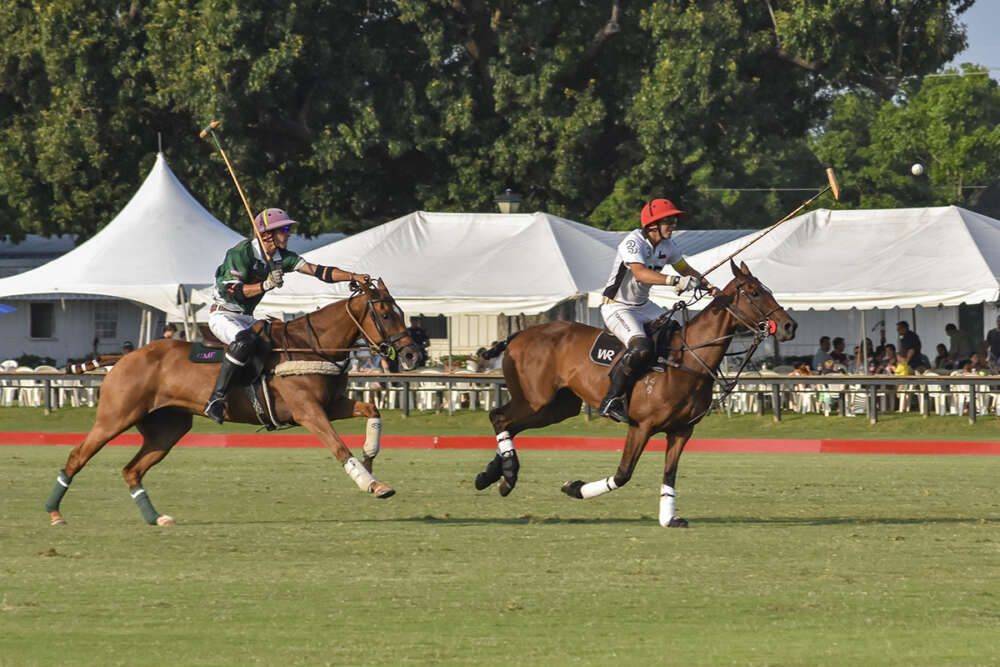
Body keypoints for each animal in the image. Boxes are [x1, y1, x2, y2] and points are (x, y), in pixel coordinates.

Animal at [46, 278, 422, 528]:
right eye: (385, 313)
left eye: (401, 310)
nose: (411, 354)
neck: (311, 345)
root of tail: (124, 356)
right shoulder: (308, 411)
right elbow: (339, 447)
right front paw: (373, 484)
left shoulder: (331, 404)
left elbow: (372, 409)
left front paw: (371, 456)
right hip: (115, 416)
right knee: (78, 456)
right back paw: (55, 512)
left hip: (168, 428)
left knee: (132, 470)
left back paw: (157, 518)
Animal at [474, 260, 796, 528]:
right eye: (754, 292)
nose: (789, 326)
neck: (689, 360)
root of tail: (518, 334)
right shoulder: (641, 426)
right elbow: (622, 474)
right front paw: (574, 488)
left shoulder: (682, 430)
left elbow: (669, 474)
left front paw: (669, 518)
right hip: (536, 399)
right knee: (499, 417)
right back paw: (507, 473)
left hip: (557, 407)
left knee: (509, 423)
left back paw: (493, 475)